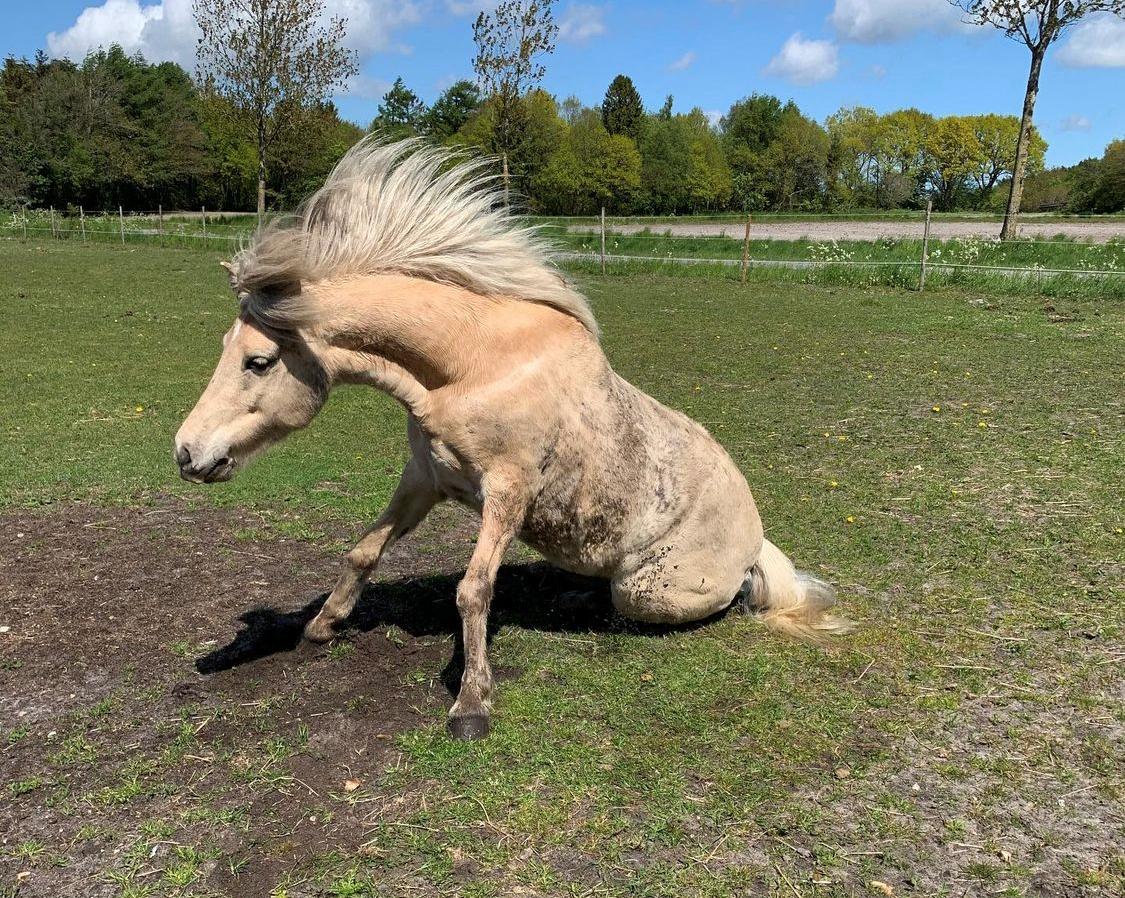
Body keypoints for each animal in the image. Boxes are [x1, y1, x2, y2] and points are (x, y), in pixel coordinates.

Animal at [173, 138, 846, 738]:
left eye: (258, 362)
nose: (187, 453)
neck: (472, 367)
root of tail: (755, 540)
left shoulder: (508, 492)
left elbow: (474, 591)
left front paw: (471, 705)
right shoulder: (423, 481)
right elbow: (365, 550)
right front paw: (321, 626)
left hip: (650, 590)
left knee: (692, 601)